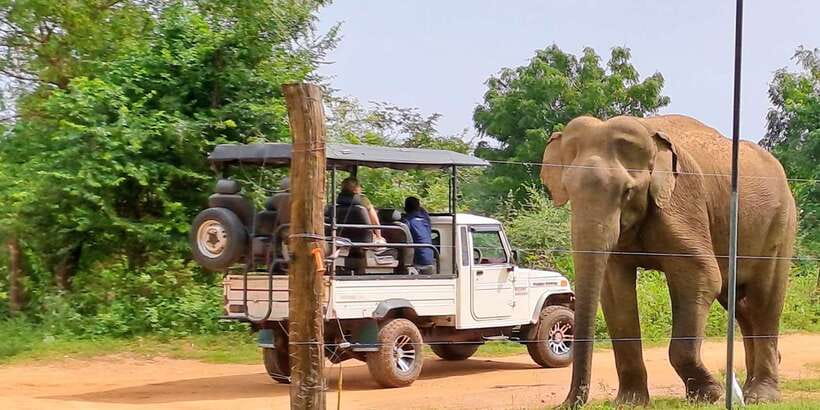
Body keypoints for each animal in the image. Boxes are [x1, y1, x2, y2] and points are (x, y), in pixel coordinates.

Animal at [539, 114, 796, 407]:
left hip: (780, 224)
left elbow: (702, 275)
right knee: (742, 306)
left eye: (627, 191)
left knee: (764, 300)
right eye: (568, 190)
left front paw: (711, 395)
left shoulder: (681, 202)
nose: (565, 404)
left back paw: (761, 396)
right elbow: (615, 291)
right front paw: (629, 403)